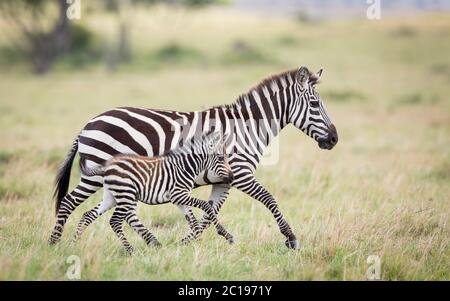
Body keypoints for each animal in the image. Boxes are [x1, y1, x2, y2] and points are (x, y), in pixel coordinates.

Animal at [72, 131, 234, 253]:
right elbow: (206, 206)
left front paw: (196, 243)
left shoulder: (179, 199)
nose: (232, 177)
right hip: (126, 195)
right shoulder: (178, 194)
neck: (185, 167)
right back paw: (130, 250)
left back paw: (74, 244)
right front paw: (225, 234)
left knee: (88, 215)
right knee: (115, 221)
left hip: (111, 197)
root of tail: (107, 166)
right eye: (221, 158)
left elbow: (192, 220)